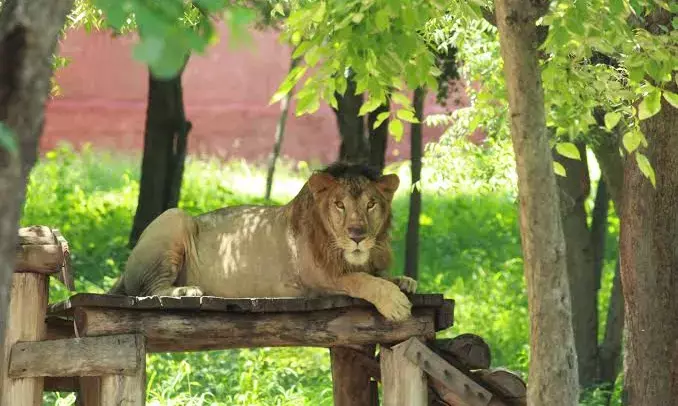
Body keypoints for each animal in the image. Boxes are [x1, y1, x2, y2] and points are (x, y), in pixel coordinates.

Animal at [109, 162, 417, 321]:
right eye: (339, 205)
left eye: (371, 204)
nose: (357, 235)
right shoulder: (317, 277)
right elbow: (360, 280)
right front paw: (395, 303)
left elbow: (378, 275)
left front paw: (404, 281)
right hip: (175, 217)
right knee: (150, 289)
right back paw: (188, 290)